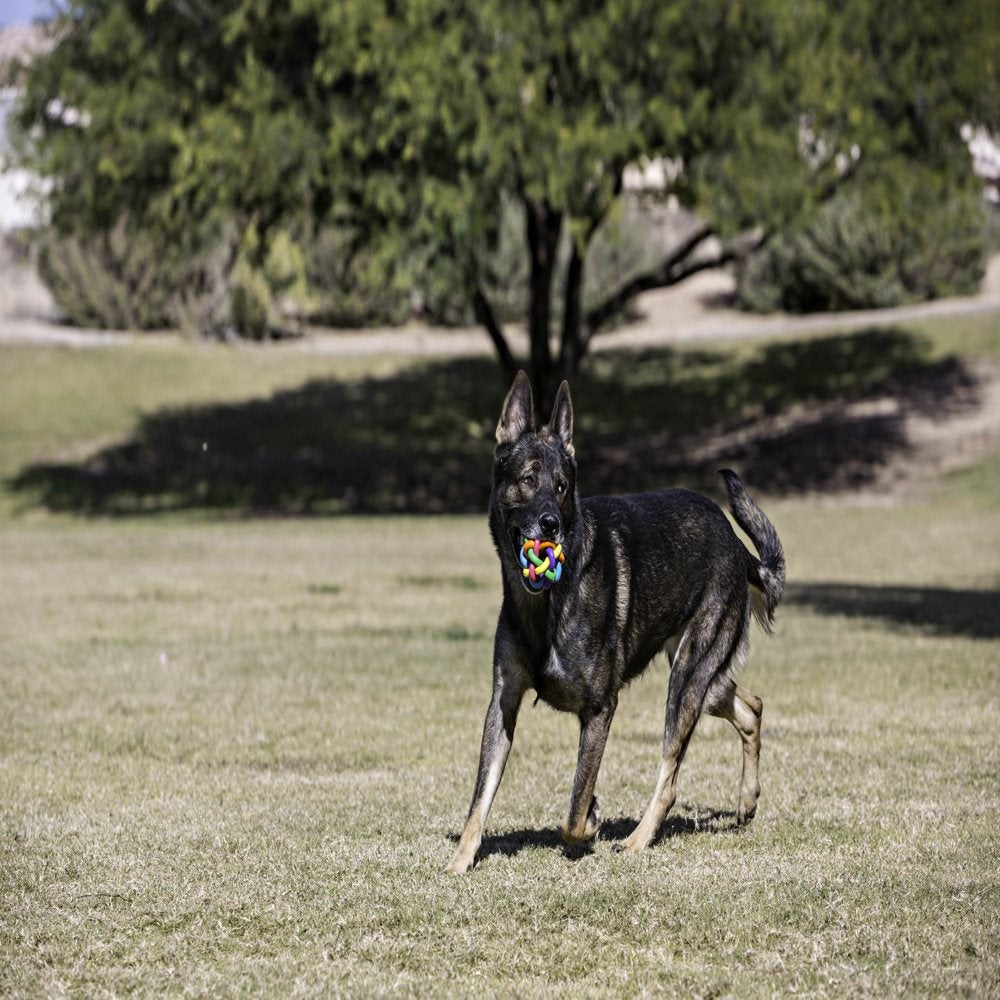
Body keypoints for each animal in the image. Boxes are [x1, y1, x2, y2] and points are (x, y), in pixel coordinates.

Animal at [448, 372, 788, 872]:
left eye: (563, 486)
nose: (550, 525)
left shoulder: (600, 709)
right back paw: (746, 801)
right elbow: (480, 797)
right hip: (702, 679)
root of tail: (736, 543)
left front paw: (589, 823)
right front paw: (460, 860)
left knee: (670, 777)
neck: (547, 604)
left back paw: (637, 839)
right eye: (528, 479)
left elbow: (573, 810)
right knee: (752, 707)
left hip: (687, 679)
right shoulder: (503, 702)